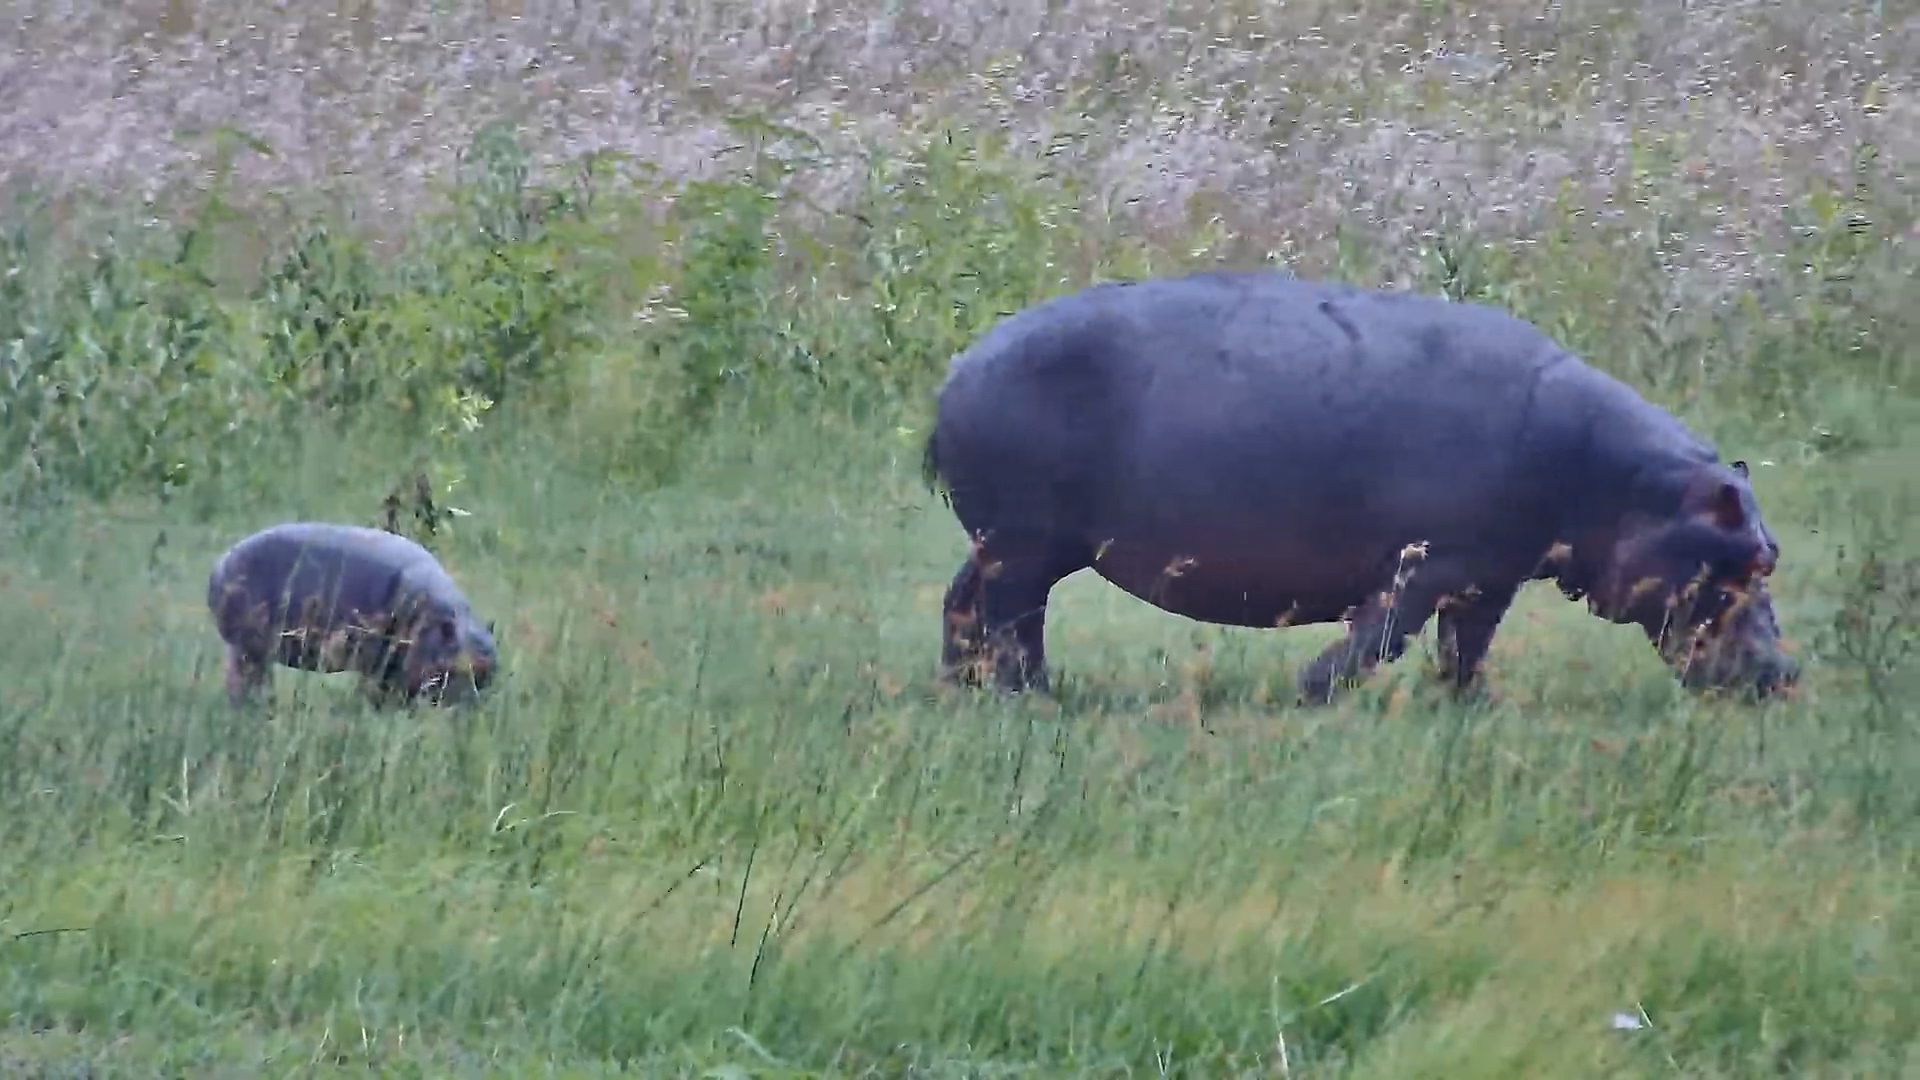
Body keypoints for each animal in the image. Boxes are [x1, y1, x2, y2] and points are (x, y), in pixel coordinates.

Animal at [207, 522, 500, 708]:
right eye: (452, 669)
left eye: (488, 673)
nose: (472, 711)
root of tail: (221, 562)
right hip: (248, 648)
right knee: (245, 681)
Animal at [921, 269, 1799, 705]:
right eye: (1748, 561)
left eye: (1773, 552)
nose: (1786, 674)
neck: (1623, 483)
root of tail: (961, 364)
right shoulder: (1431, 562)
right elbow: (1381, 635)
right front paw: (1310, 694)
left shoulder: (1491, 577)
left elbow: (1465, 649)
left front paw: (1468, 710)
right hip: (1026, 543)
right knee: (1014, 622)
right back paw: (1035, 700)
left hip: (1012, 542)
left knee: (966, 603)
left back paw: (964, 689)